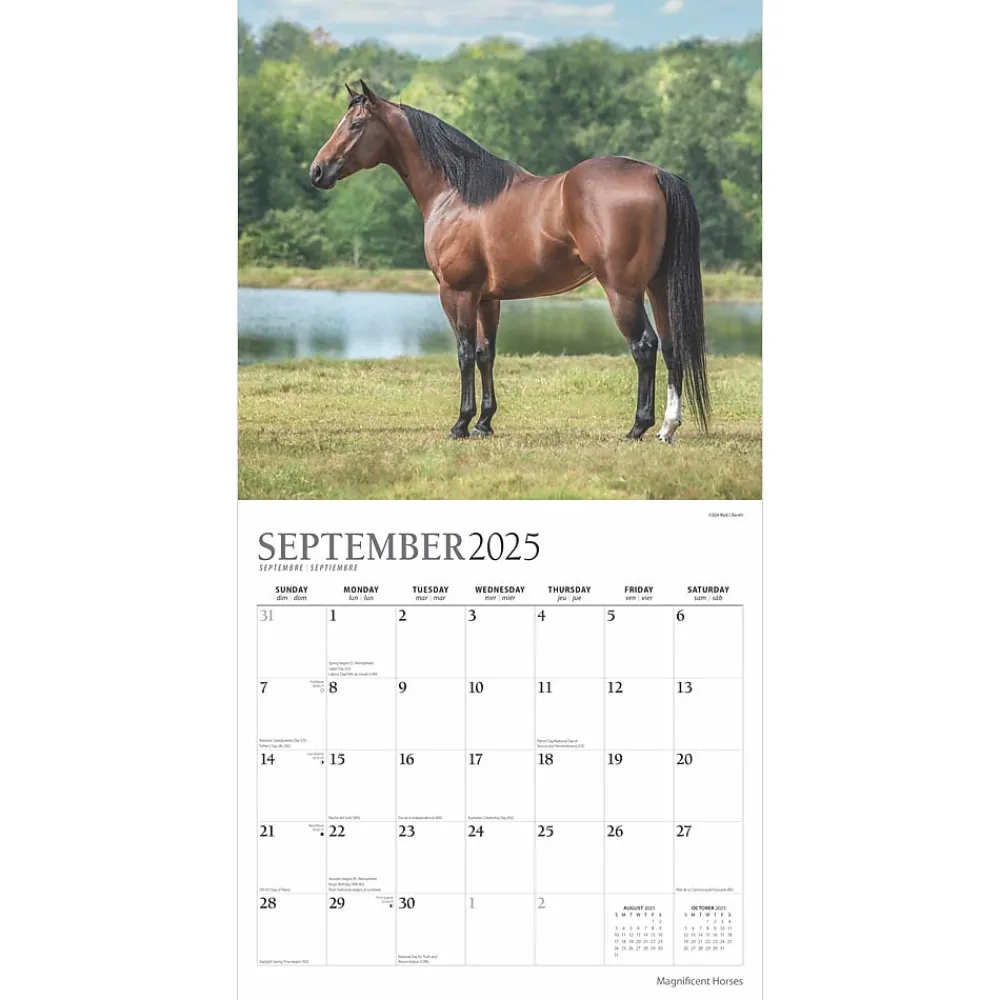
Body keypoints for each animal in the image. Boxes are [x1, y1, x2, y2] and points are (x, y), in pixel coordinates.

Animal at [309, 80, 709, 443]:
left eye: (356, 124)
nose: (317, 171)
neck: (458, 194)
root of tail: (655, 174)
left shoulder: (456, 293)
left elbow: (465, 353)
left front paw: (460, 424)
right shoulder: (488, 298)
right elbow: (486, 353)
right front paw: (484, 423)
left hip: (622, 291)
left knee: (645, 346)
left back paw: (638, 427)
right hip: (658, 287)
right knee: (671, 347)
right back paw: (667, 428)